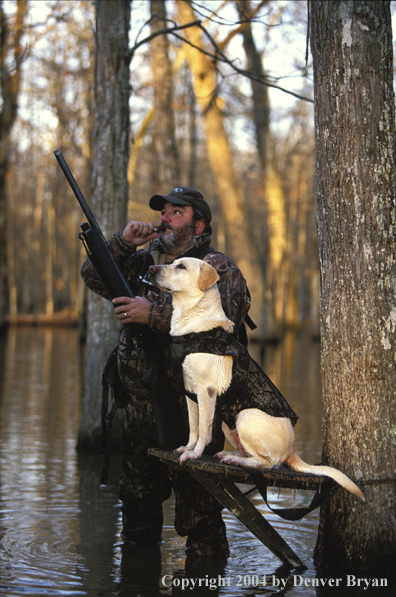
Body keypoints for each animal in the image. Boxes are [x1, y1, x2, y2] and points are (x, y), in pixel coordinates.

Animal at [148, 258, 366, 500]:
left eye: (182, 267)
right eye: (173, 263)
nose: (150, 268)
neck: (193, 321)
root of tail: (293, 450)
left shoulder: (206, 392)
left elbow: (204, 431)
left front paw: (194, 454)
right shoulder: (190, 392)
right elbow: (193, 428)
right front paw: (187, 448)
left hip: (245, 415)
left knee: (267, 463)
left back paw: (235, 459)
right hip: (229, 424)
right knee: (252, 455)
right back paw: (232, 456)